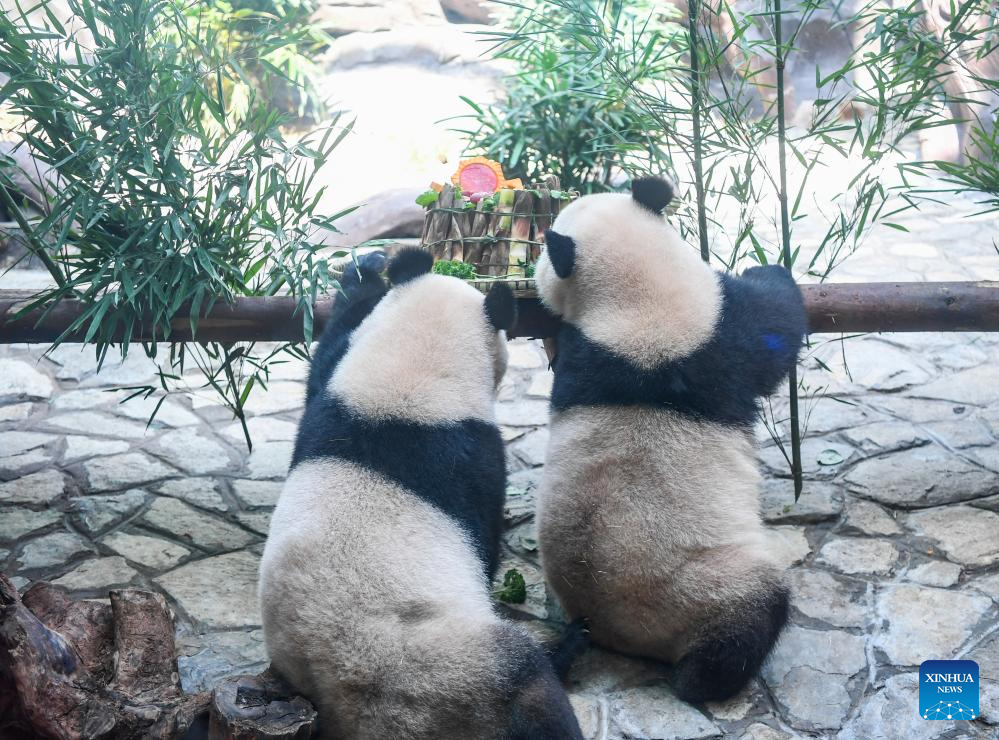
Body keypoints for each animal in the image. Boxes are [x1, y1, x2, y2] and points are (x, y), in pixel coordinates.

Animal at [258, 249, 584, 740]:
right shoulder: (474, 459)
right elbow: (485, 543)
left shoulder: (332, 400)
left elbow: (330, 347)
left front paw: (367, 271)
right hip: (442, 678)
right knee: (527, 684)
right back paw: (564, 652)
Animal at [536, 176, 808, 704]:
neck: (637, 300)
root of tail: (610, 627)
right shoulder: (722, 331)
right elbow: (775, 325)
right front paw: (771, 268)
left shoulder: (587, 358)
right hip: (707, 587)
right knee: (752, 614)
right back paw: (707, 679)